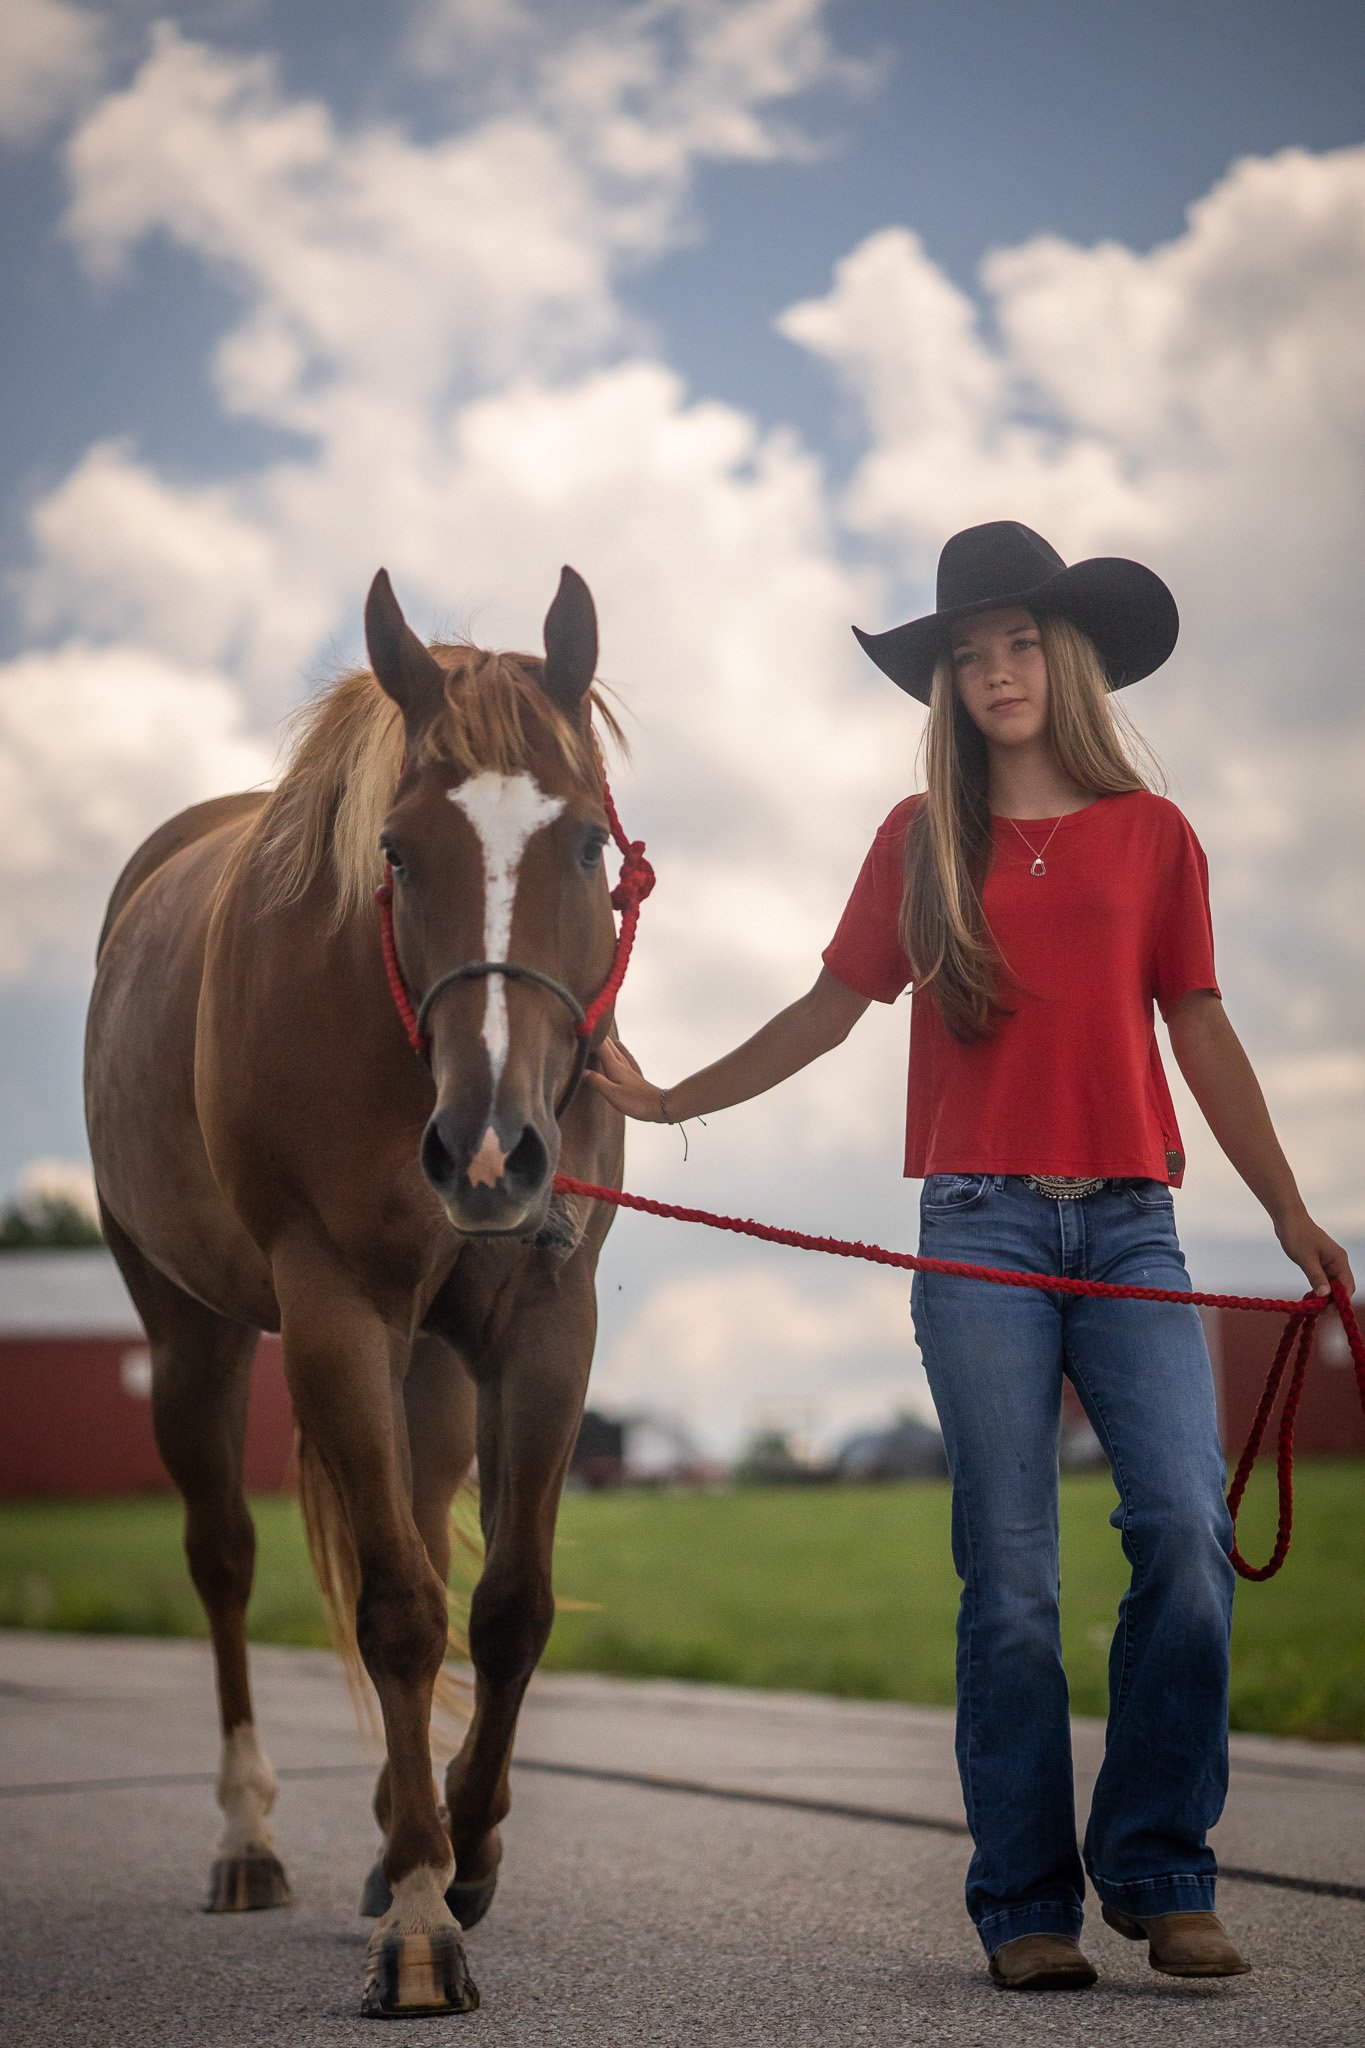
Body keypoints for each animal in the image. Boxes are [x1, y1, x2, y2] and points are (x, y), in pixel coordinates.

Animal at [84, 565, 627, 2016]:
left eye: (589, 845)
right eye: (397, 854)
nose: (492, 1149)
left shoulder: (546, 1320)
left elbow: (506, 1608)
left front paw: (460, 1853)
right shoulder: (332, 1312)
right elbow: (396, 1611)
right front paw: (426, 1919)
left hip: (431, 1360)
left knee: (430, 1529)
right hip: (197, 1332)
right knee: (223, 1557)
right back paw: (251, 1839)